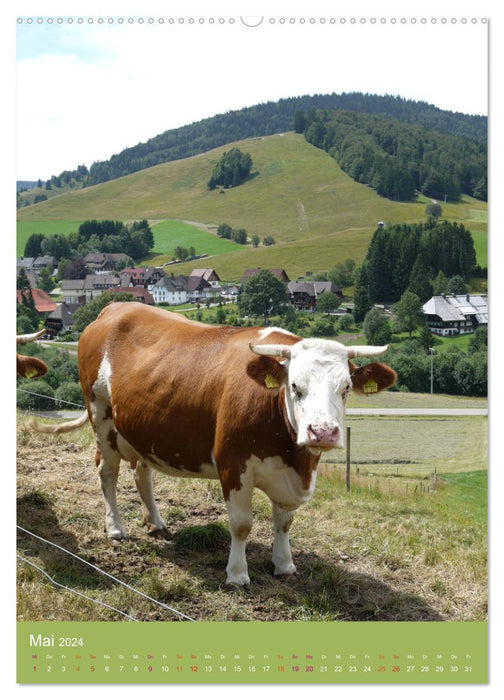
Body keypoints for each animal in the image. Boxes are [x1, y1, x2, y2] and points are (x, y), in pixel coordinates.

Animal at [29, 302, 396, 584]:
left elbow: (284, 522)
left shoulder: (289, 476)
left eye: (346, 388)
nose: (322, 432)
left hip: (143, 427)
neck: (294, 458)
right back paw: (115, 527)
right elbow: (242, 524)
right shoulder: (233, 464)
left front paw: (284, 565)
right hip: (101, 416)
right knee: (107, 472)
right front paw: (237, 574)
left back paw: (156, 522)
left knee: (141, 473)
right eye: (295, 386)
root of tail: (114, 307)